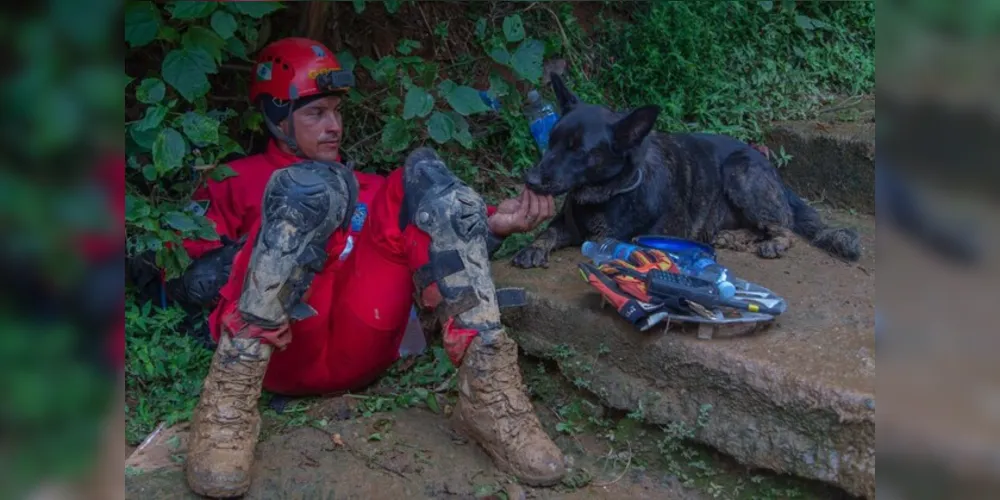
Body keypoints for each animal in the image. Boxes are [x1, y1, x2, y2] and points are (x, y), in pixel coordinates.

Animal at [512, 72, 864, 268]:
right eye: (551, 142)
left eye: (580, 152)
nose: (530, 180)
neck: (610, 193)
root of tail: (775, 173)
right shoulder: (566, 225)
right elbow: (548, 232)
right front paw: (533, 247)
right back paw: (735, 237)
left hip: (739, 170)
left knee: (785, 228)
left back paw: (772, 243)